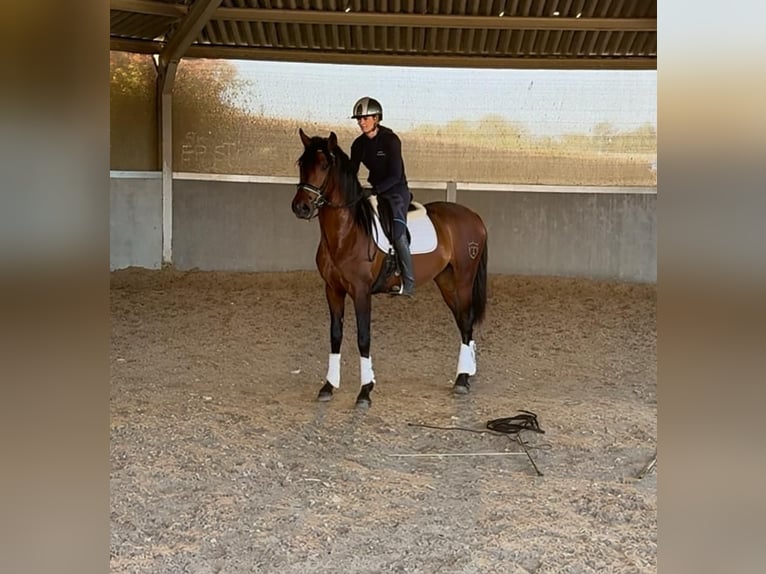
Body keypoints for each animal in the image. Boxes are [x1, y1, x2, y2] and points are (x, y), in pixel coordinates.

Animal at [291, 129, 488, 408]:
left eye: (324, 165)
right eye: (301, 164)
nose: (301, 207)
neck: (346, 233)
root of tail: (474, 217)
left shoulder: (361, 292)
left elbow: (363, 338)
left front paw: (365, 391)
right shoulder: (333, 290)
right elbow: (335, 335)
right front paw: (328, 386)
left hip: (463, 280)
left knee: (468, 321)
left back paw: (462, 379)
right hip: (446, 282)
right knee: (462, 322)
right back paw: (467, 373)